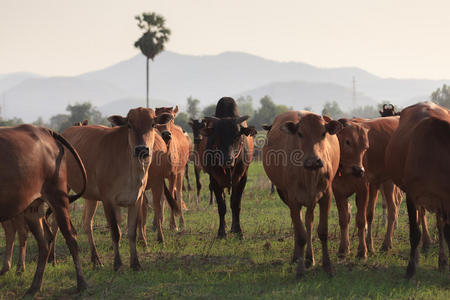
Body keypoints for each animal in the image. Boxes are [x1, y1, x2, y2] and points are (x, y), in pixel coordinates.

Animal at [0, 124, 88, 296]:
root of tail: (45, 130)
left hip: (58, 198)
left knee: (71, 236)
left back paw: (81, 283)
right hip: (32, 207)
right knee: (44, 240)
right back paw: (34, 287)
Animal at [61, 106, 171, 270]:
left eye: (153, 124)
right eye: (129, 125)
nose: (141, 149)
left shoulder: (136, 199)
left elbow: (132, 231)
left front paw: (135, 263)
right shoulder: (108, 200)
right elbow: (115, 232)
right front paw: (118, 264)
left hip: (91, 197)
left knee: (87, 223)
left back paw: (96, 259)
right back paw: (53, 259)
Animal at [198, 98, 255, 239]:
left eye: (237, 135)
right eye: (217, 136)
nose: (227, 159)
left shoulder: (242, 179)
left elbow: (235, 204)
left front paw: (238, 231)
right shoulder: (214, 180)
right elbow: (222, 206)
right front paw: (221, 232)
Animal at [260, 110, 342, 276]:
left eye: (323, 133)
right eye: (300, 133)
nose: (313, 160)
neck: (309, 174)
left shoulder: (326, 195)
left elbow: (322, 231)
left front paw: (327, 266)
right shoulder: (292, 198)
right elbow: (301, 235)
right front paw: (300, 269)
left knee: (309, 222)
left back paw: (310, 258)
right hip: (287, 196)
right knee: (299, 227)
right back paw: (297, 257)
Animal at [384, 102, 450, 278]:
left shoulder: (445, 200)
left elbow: (445, 230)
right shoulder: (412, 195)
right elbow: (415, 232)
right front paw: (410, 269)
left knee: (440, 226)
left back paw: (442, 261)